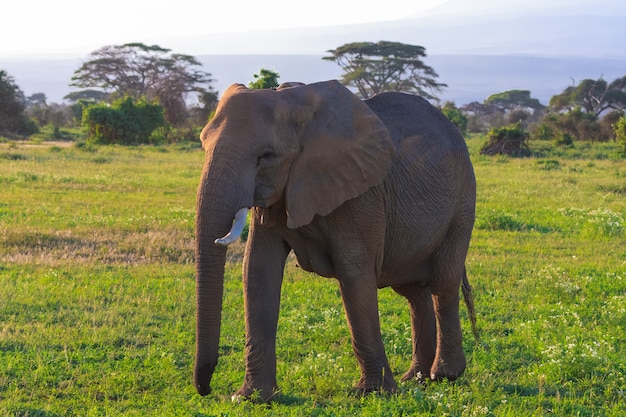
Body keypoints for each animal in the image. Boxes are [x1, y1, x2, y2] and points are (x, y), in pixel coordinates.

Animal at [193, 79, 476, 402]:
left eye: (266, 156)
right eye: (203, 145)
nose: (205, 388)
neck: (294, 104)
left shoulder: (361, 193)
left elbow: (354, 273)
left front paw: (370, 392)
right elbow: (258, 272)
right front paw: (251, 398)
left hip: (462, 203)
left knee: (444, 282)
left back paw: (443, 375)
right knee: (413, 292)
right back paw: (415, 378)